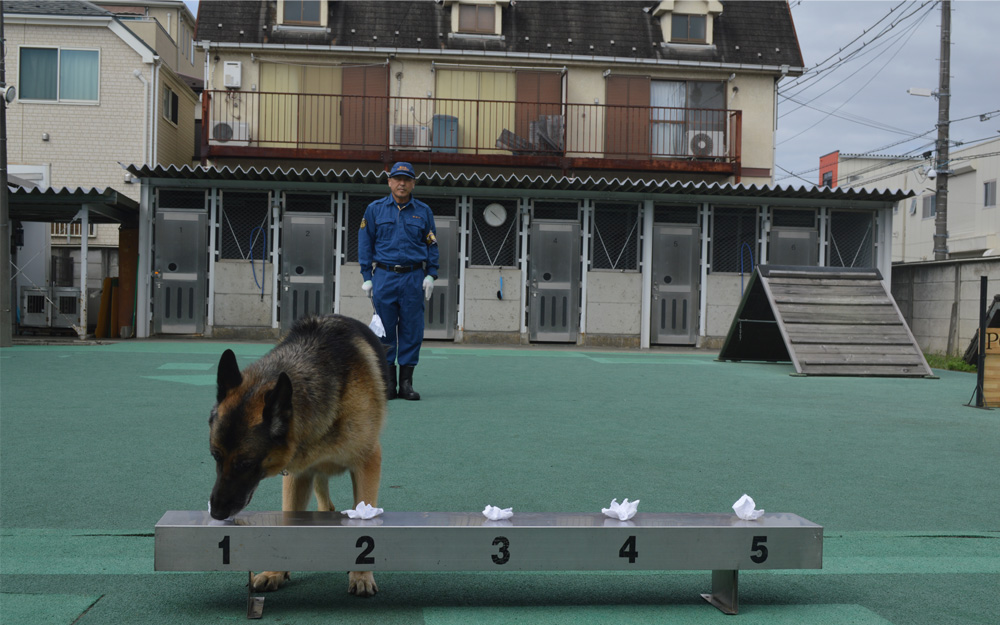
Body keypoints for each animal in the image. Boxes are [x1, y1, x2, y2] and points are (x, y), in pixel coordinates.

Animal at [208, 316, 386, 596]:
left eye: (245, 463)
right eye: (215, 456)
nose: (215, 513)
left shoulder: (367, 464)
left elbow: (364, 513)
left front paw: (361, 574)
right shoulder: (297, 474)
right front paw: (275, 571)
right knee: (325, 500)